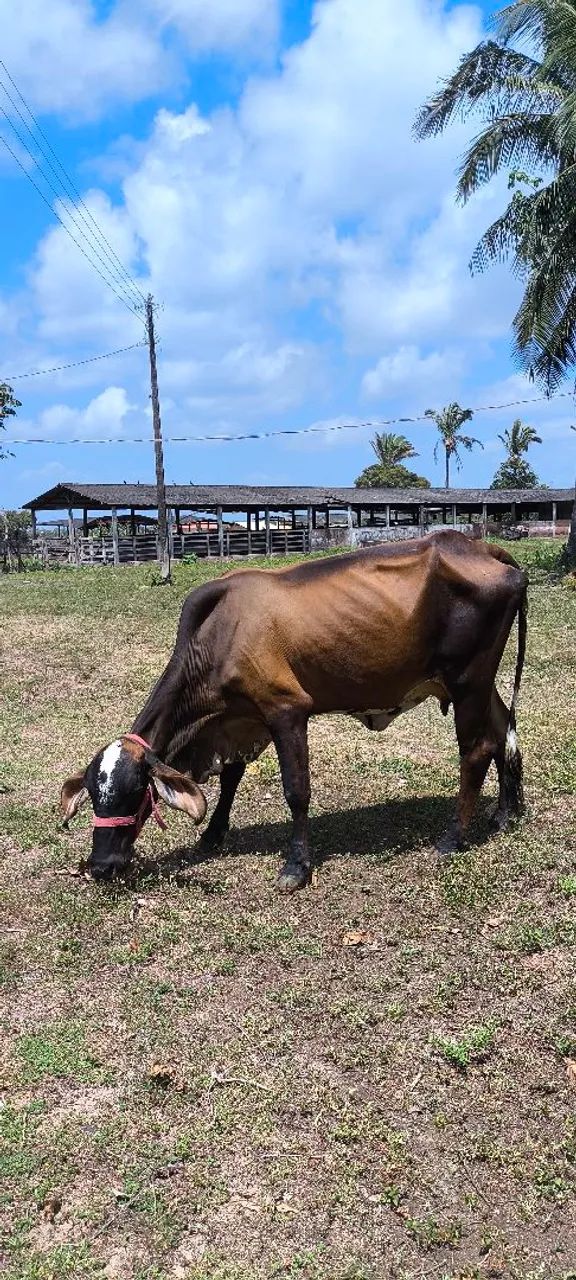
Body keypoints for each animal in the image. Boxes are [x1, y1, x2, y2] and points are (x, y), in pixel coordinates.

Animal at [60, 529, 527, 890]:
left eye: (135, 791)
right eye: (94, 797)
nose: (101, 867)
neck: (215, 637)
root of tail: (482, 547)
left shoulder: (286, 711)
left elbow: (296, 791)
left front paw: (296, 866)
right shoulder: (241, 720)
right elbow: (230, 779)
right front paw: (212, 835)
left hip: (467, 679)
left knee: (476, 750)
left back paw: (453, 837)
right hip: (479, 683)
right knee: (503, 732)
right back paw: (506, 813)